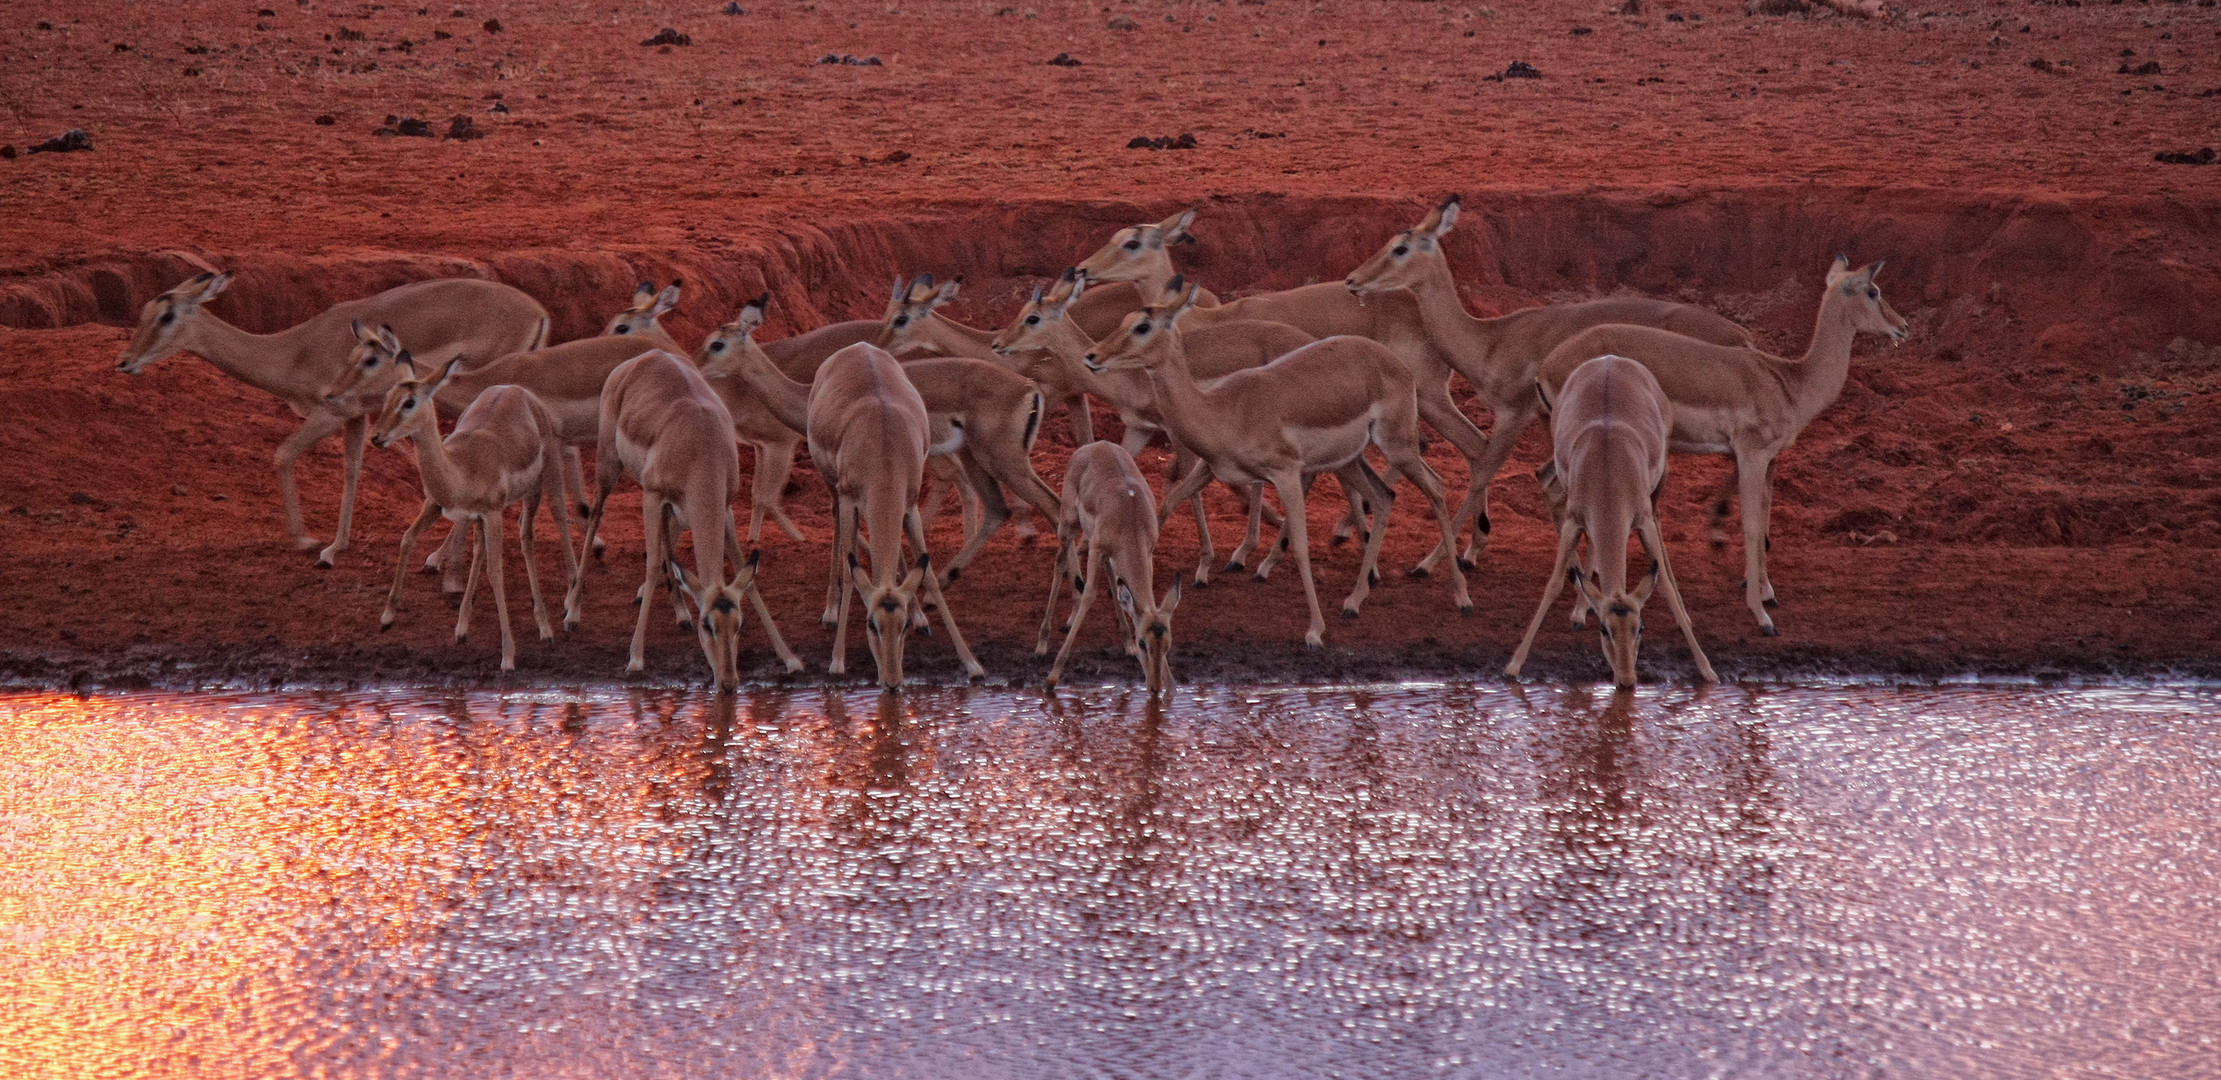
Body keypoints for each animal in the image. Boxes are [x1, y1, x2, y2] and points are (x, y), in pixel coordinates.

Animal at [118, 270, 550, 564]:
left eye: (167, 316)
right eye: (145, 311)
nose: (125, 362)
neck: (293, 351)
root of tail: (539, 311)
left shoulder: (328, 413)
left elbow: (283, 454)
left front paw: (307, 541)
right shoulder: (357, 417)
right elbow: (352, 470)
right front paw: (335, 545)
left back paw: (438, 559)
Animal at [366, 357, 577, 671]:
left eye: (409, 402)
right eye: (388, 397)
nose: (376, 437)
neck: (461, 469)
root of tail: (517, 390)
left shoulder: (493, 514)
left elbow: (496, 572)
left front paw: (508, 656)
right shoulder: (440, 506)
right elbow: (407, 539)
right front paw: (387, 617)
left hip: (542, 484)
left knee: (538, 530)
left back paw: (553, 623)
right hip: (485, 516)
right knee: (481, 549)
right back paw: (463, 627)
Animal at [1501, 355, 1723, 693]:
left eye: (1641, 627)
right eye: (1604, 629)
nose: (1627, 680)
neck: (1607, 471)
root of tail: (1610, 359)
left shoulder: (1642, 521)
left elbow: (1663, 585)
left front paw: (1708, 670)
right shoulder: (1574, 520)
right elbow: (1553, 584)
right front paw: (1513, 667)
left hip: (1660, 484)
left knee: (1660, 522)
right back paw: (1580, 610)